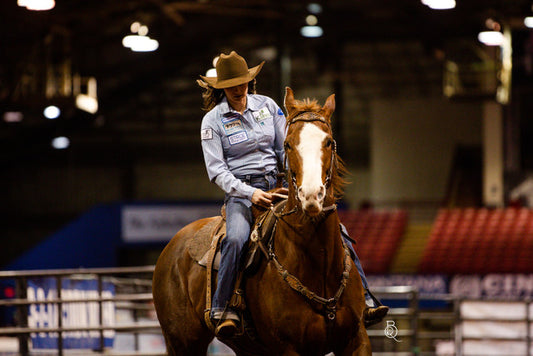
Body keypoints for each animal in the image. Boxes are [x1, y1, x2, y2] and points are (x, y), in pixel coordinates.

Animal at [152, 87, 370, 356]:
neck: (318, 264)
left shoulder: (356, 339)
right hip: (182, 341)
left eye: (328, 141)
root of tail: (171, 247)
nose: (311, 195)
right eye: (288, 144)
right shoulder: (286, 348)